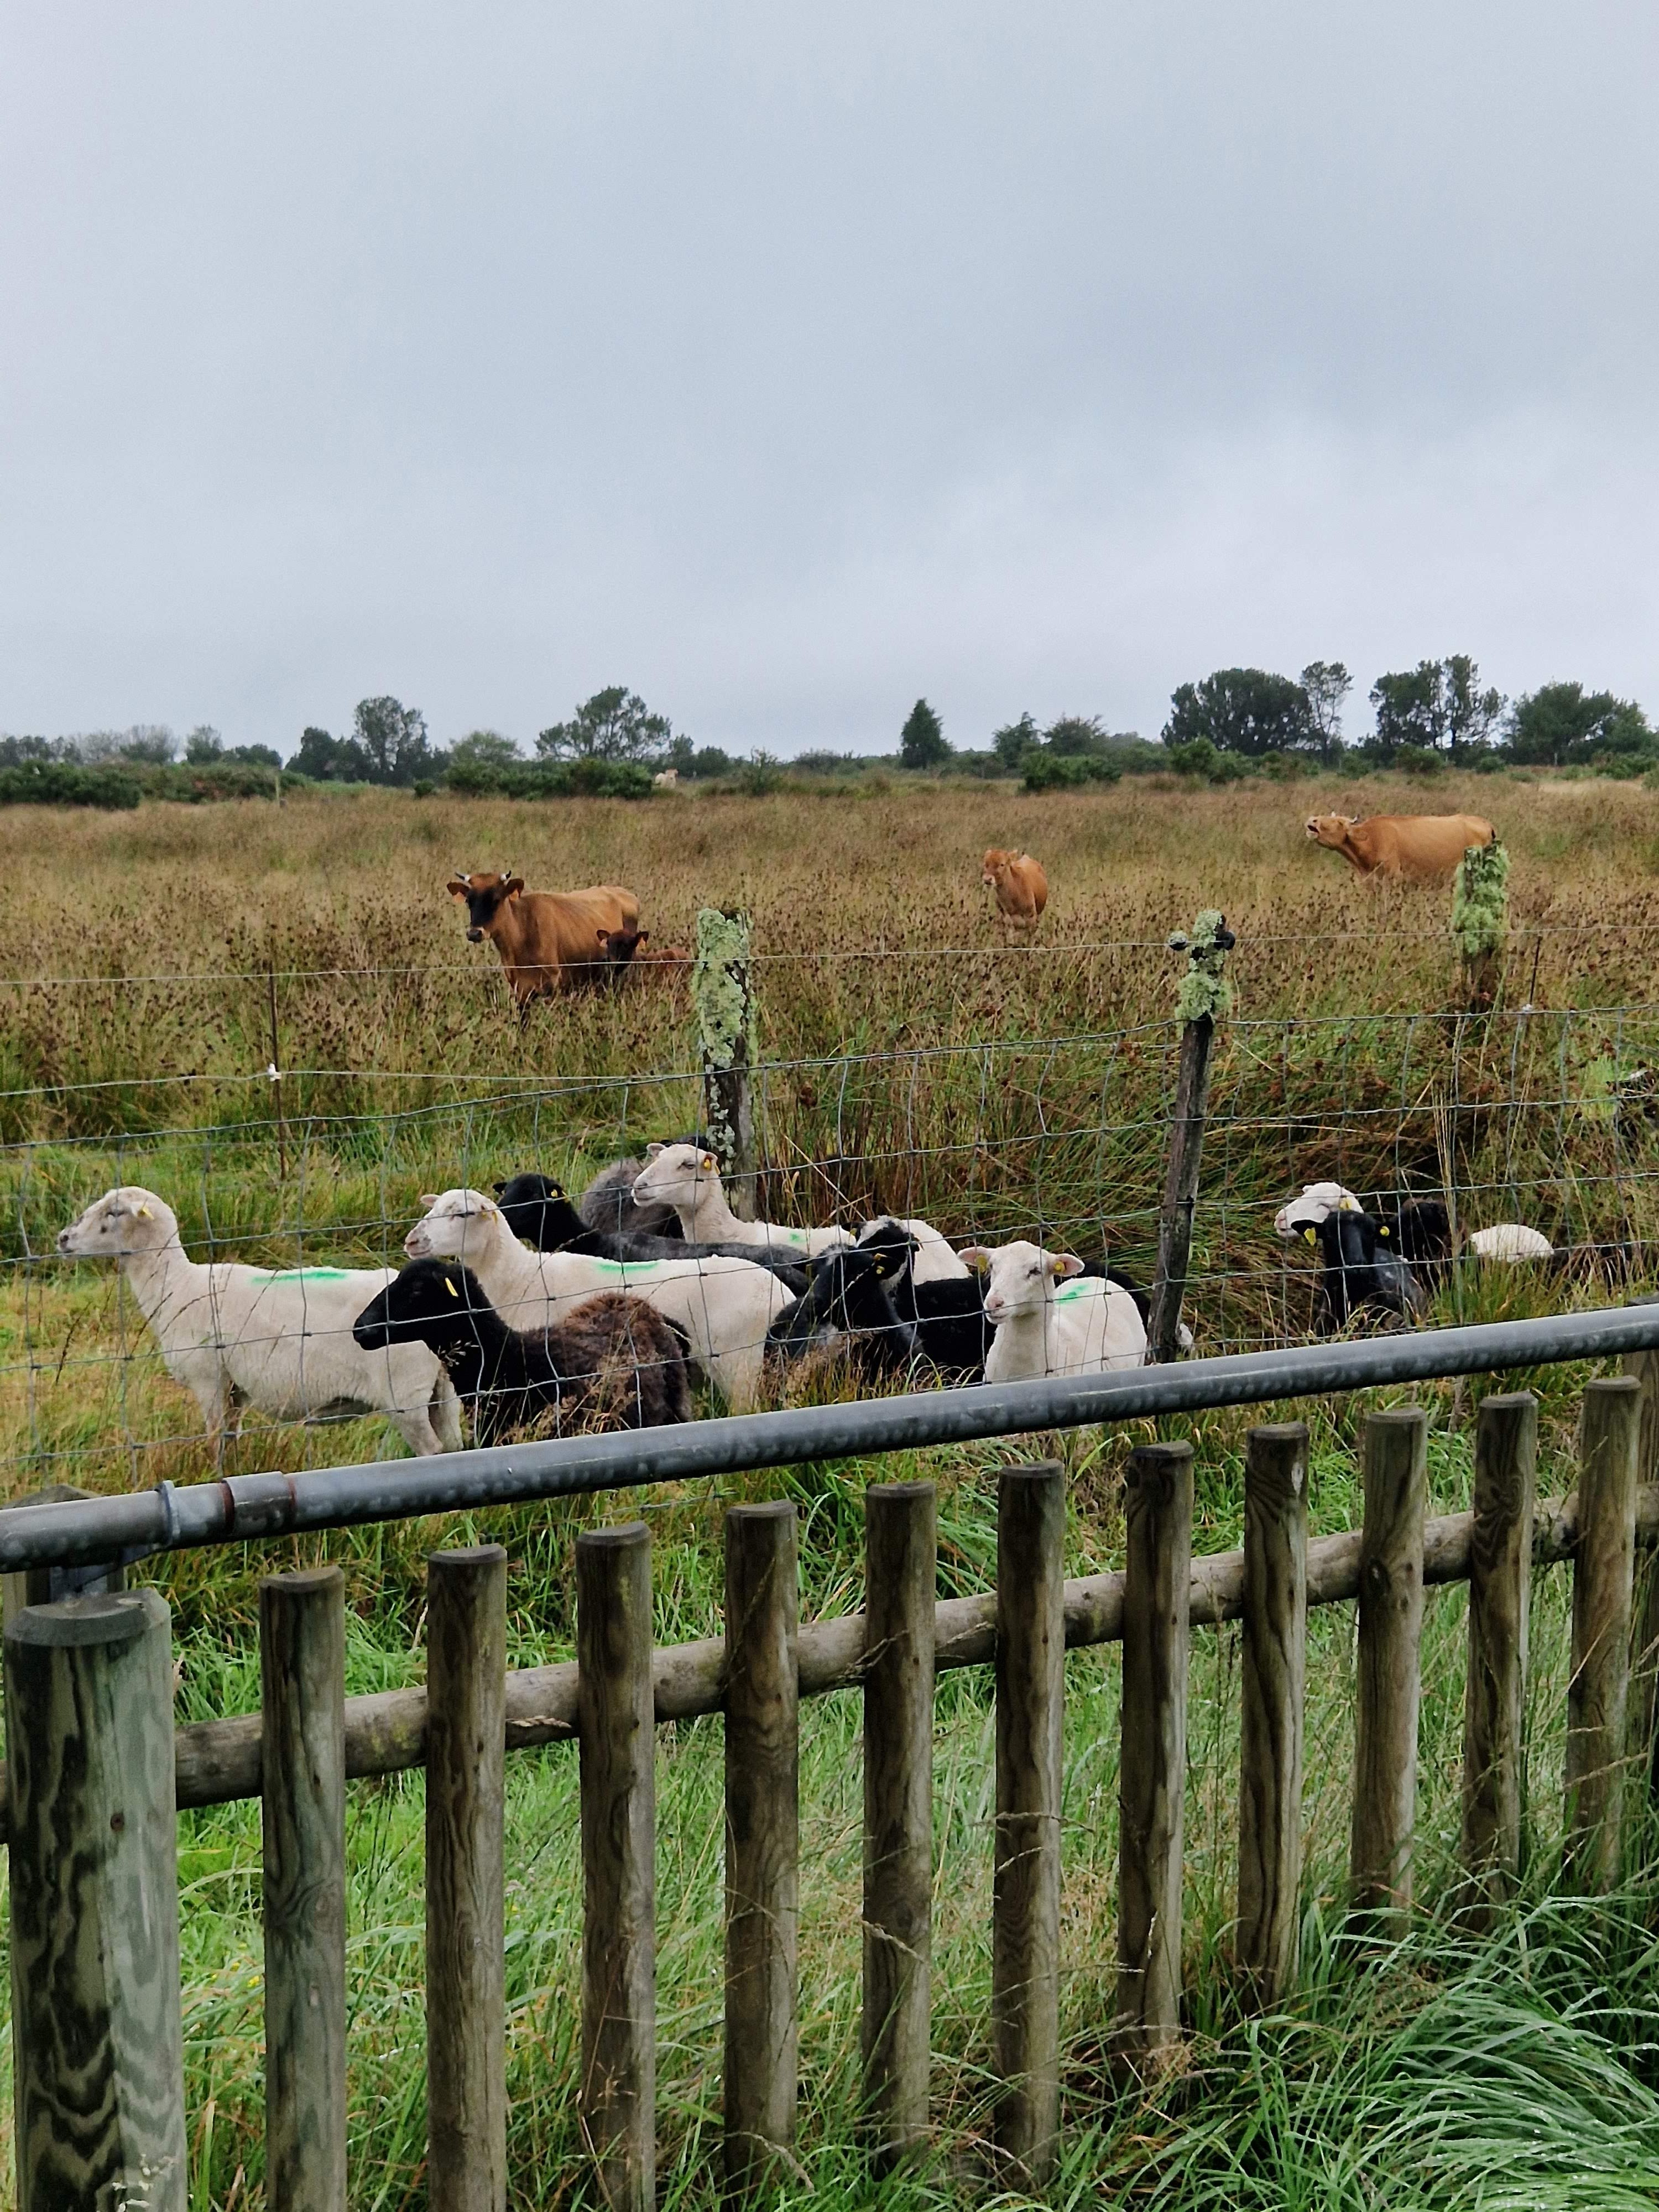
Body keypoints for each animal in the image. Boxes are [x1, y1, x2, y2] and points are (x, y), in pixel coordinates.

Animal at [56, 1186, 462, 1456]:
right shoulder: (234, 1389)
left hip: (405, 1397)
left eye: (114, 1213)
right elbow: (230, 1441)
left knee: (432, 1452)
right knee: (456, 1446)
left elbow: (214, 1442)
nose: (63, 1239)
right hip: (445, 1391)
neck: (177, 1285)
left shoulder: (209, 1379)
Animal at [405, 1187, 795, 1412]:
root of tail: (783, 1293)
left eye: (462, 1214)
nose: (412, 1241)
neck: (518, 1276)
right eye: (433, 1209)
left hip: (742, 1363)